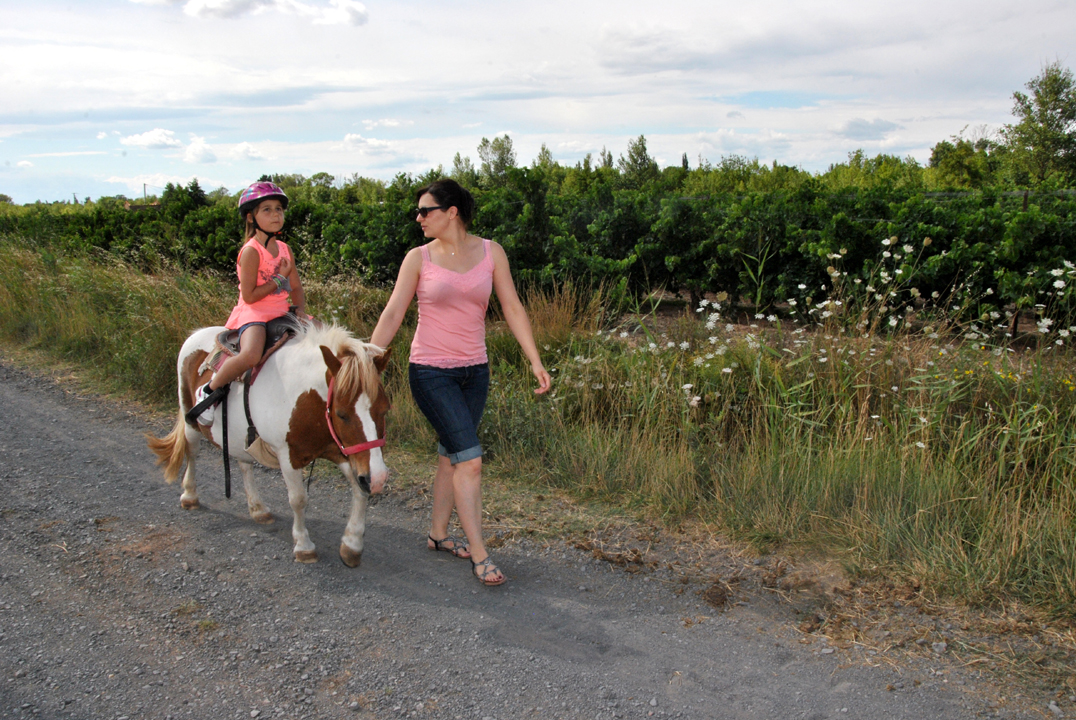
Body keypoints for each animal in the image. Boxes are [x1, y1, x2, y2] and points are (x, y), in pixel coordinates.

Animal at [147, 320, 391, 567]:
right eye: (341, 414)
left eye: (384, 409)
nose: (378, 478)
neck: (306, 398)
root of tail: (197, 334)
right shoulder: (288, 457)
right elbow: (298, 499)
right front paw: (304, 546)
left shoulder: (345, 452)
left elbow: (359, 491)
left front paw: (352, 545)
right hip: (190, 421)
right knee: (192, 452)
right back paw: (189, 495)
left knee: (244, 464)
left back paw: (258, 509)